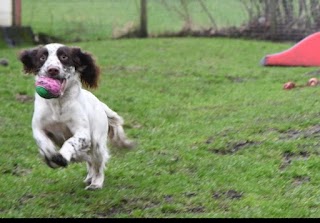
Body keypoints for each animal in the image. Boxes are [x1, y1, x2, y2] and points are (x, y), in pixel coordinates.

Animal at [19, 42, 134, 189]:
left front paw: (61, 157)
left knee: (98, 164)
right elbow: (43, 143)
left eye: (64, 56)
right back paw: (88, 176)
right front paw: (51, 156)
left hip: (97, 142)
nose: (52, 70)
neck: (58, 103)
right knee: (88, 160)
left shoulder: (83, 134)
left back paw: (96, 183)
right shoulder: (38, 128)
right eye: (42, 57)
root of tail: (100, 104)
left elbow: (71, 142)